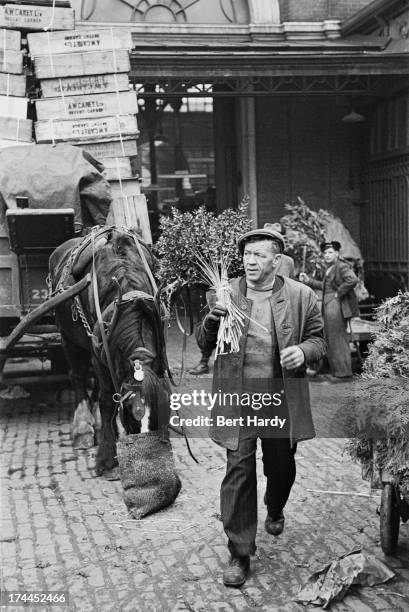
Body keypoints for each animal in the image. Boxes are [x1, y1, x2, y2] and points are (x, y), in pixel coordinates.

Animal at [48, 227, 170, 480]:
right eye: (132, 414)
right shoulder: (97, 351)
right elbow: (107, 400)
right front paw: (106, 456)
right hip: (68, 339)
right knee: (78, 377)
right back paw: (83, 428)